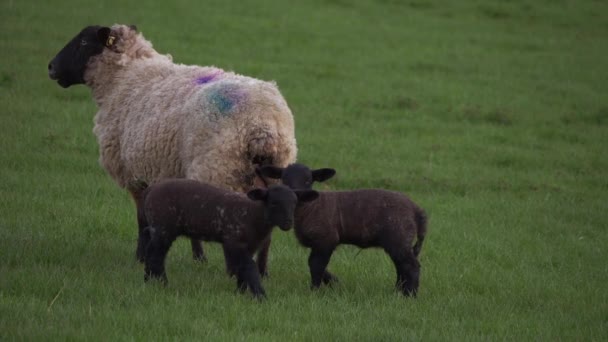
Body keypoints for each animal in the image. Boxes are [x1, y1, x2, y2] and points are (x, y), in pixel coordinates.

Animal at [46, 24, 298, 264]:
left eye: (83, 42)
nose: (50, 67)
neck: (124, 77)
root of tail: (262, 126)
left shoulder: (136, 173)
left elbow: (142, 219)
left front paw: (141, 257)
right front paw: (198, 258)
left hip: (220, 169)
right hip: (268, 175)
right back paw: (262, 270)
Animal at [128, 179, 318, 300]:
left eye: (294, 203)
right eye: (273, 203)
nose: (288, 223)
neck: (253, 215)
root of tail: (150, 191)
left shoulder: (250, 245)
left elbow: (242, 269)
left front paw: (241, 292)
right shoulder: (234, 242)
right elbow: (249, 267)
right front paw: (260, 296)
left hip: (159, 228)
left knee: (152, 251)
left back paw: (148, 280)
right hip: (163, 227)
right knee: (156, 255)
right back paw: (162, 283)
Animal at [258, 164, 428, 296]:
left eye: (308, 180)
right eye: (284, 179)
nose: (295, 193)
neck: (310, 207)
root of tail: (416, 210)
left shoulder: (326, 239)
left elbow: (315, 264)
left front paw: (315, 290)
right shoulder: (318, 243)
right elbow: (318, 265)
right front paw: (334, 282)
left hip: (399, 236)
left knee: (411, 266)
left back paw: (409, 295)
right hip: (399, 241)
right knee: (401, 266)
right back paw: (398, 291)